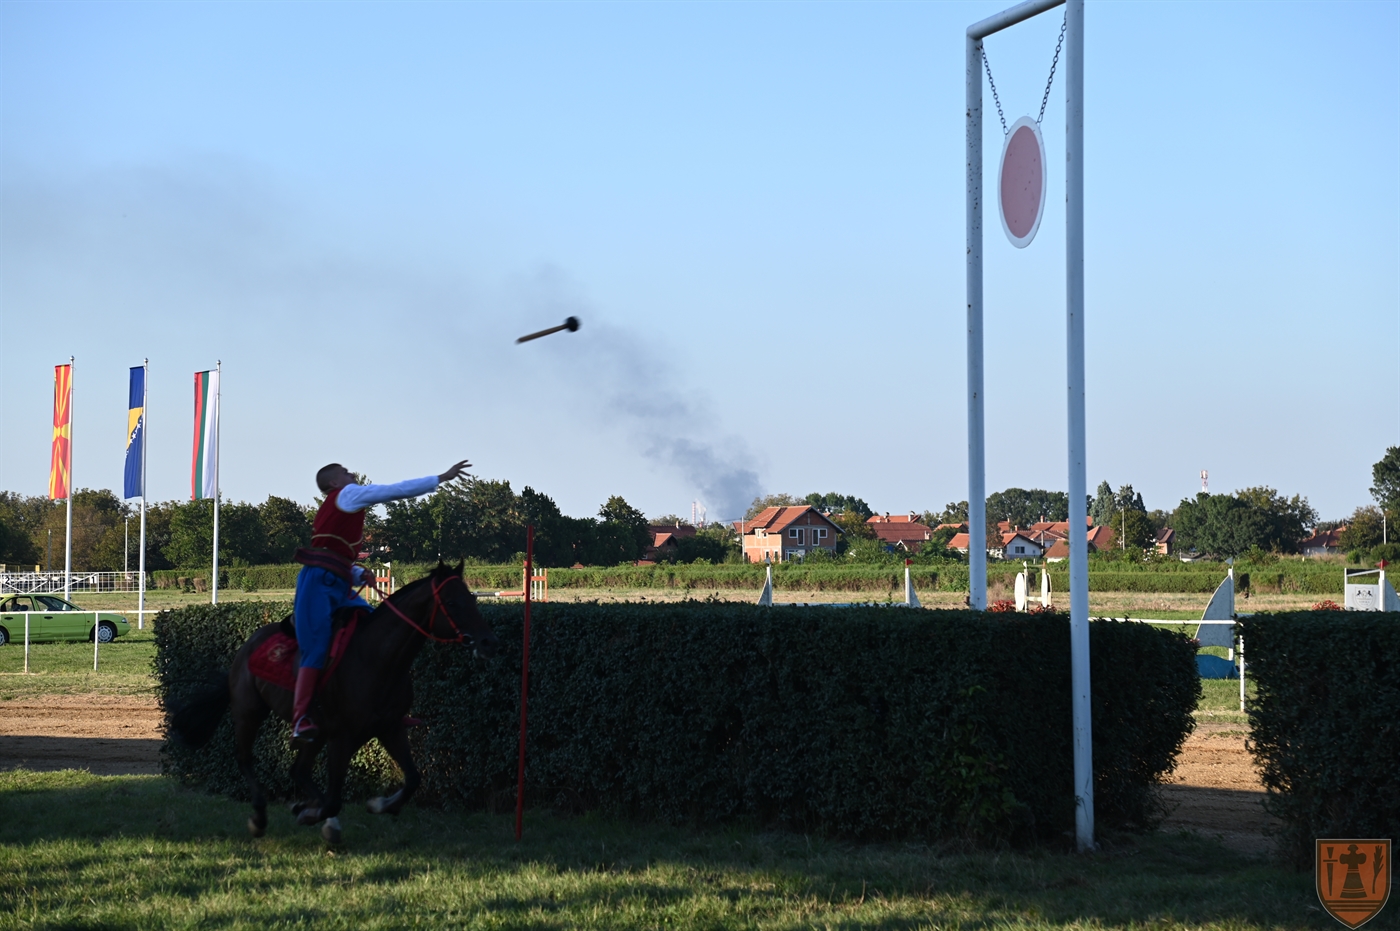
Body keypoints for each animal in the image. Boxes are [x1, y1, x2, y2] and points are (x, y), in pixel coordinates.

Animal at [169, 561, 500, 844]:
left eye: (472, 597)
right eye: (452, 603)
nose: (487, 642)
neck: (376, 660)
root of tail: (247, 646)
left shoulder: (390, 728)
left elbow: (413, 779)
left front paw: (379, 804)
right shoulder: (343, 736)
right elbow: (334, 800)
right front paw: (312, 814)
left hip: (314, 733)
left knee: (299, 771)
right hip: (249, 713)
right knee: (246, 759)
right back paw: (261, 816)